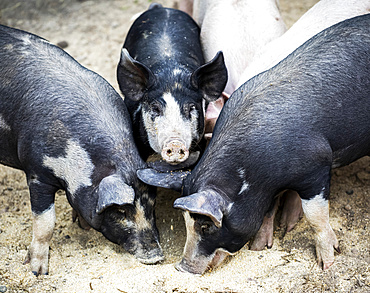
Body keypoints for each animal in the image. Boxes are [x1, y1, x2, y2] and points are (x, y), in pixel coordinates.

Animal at [0, 24, 163, 274]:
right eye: (121, 211)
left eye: (151, 206)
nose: (156, 257)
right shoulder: (37, 173)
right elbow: (45, 222)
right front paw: (37, 271)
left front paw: (82, 224)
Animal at [138, 13, 370, 274]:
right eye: (185, 222)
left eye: (206, 226)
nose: (181, 267)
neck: (258, 172)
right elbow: (267, 210)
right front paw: (259, 248)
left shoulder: (317, 166)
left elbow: (316, 217)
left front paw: (326, 265)